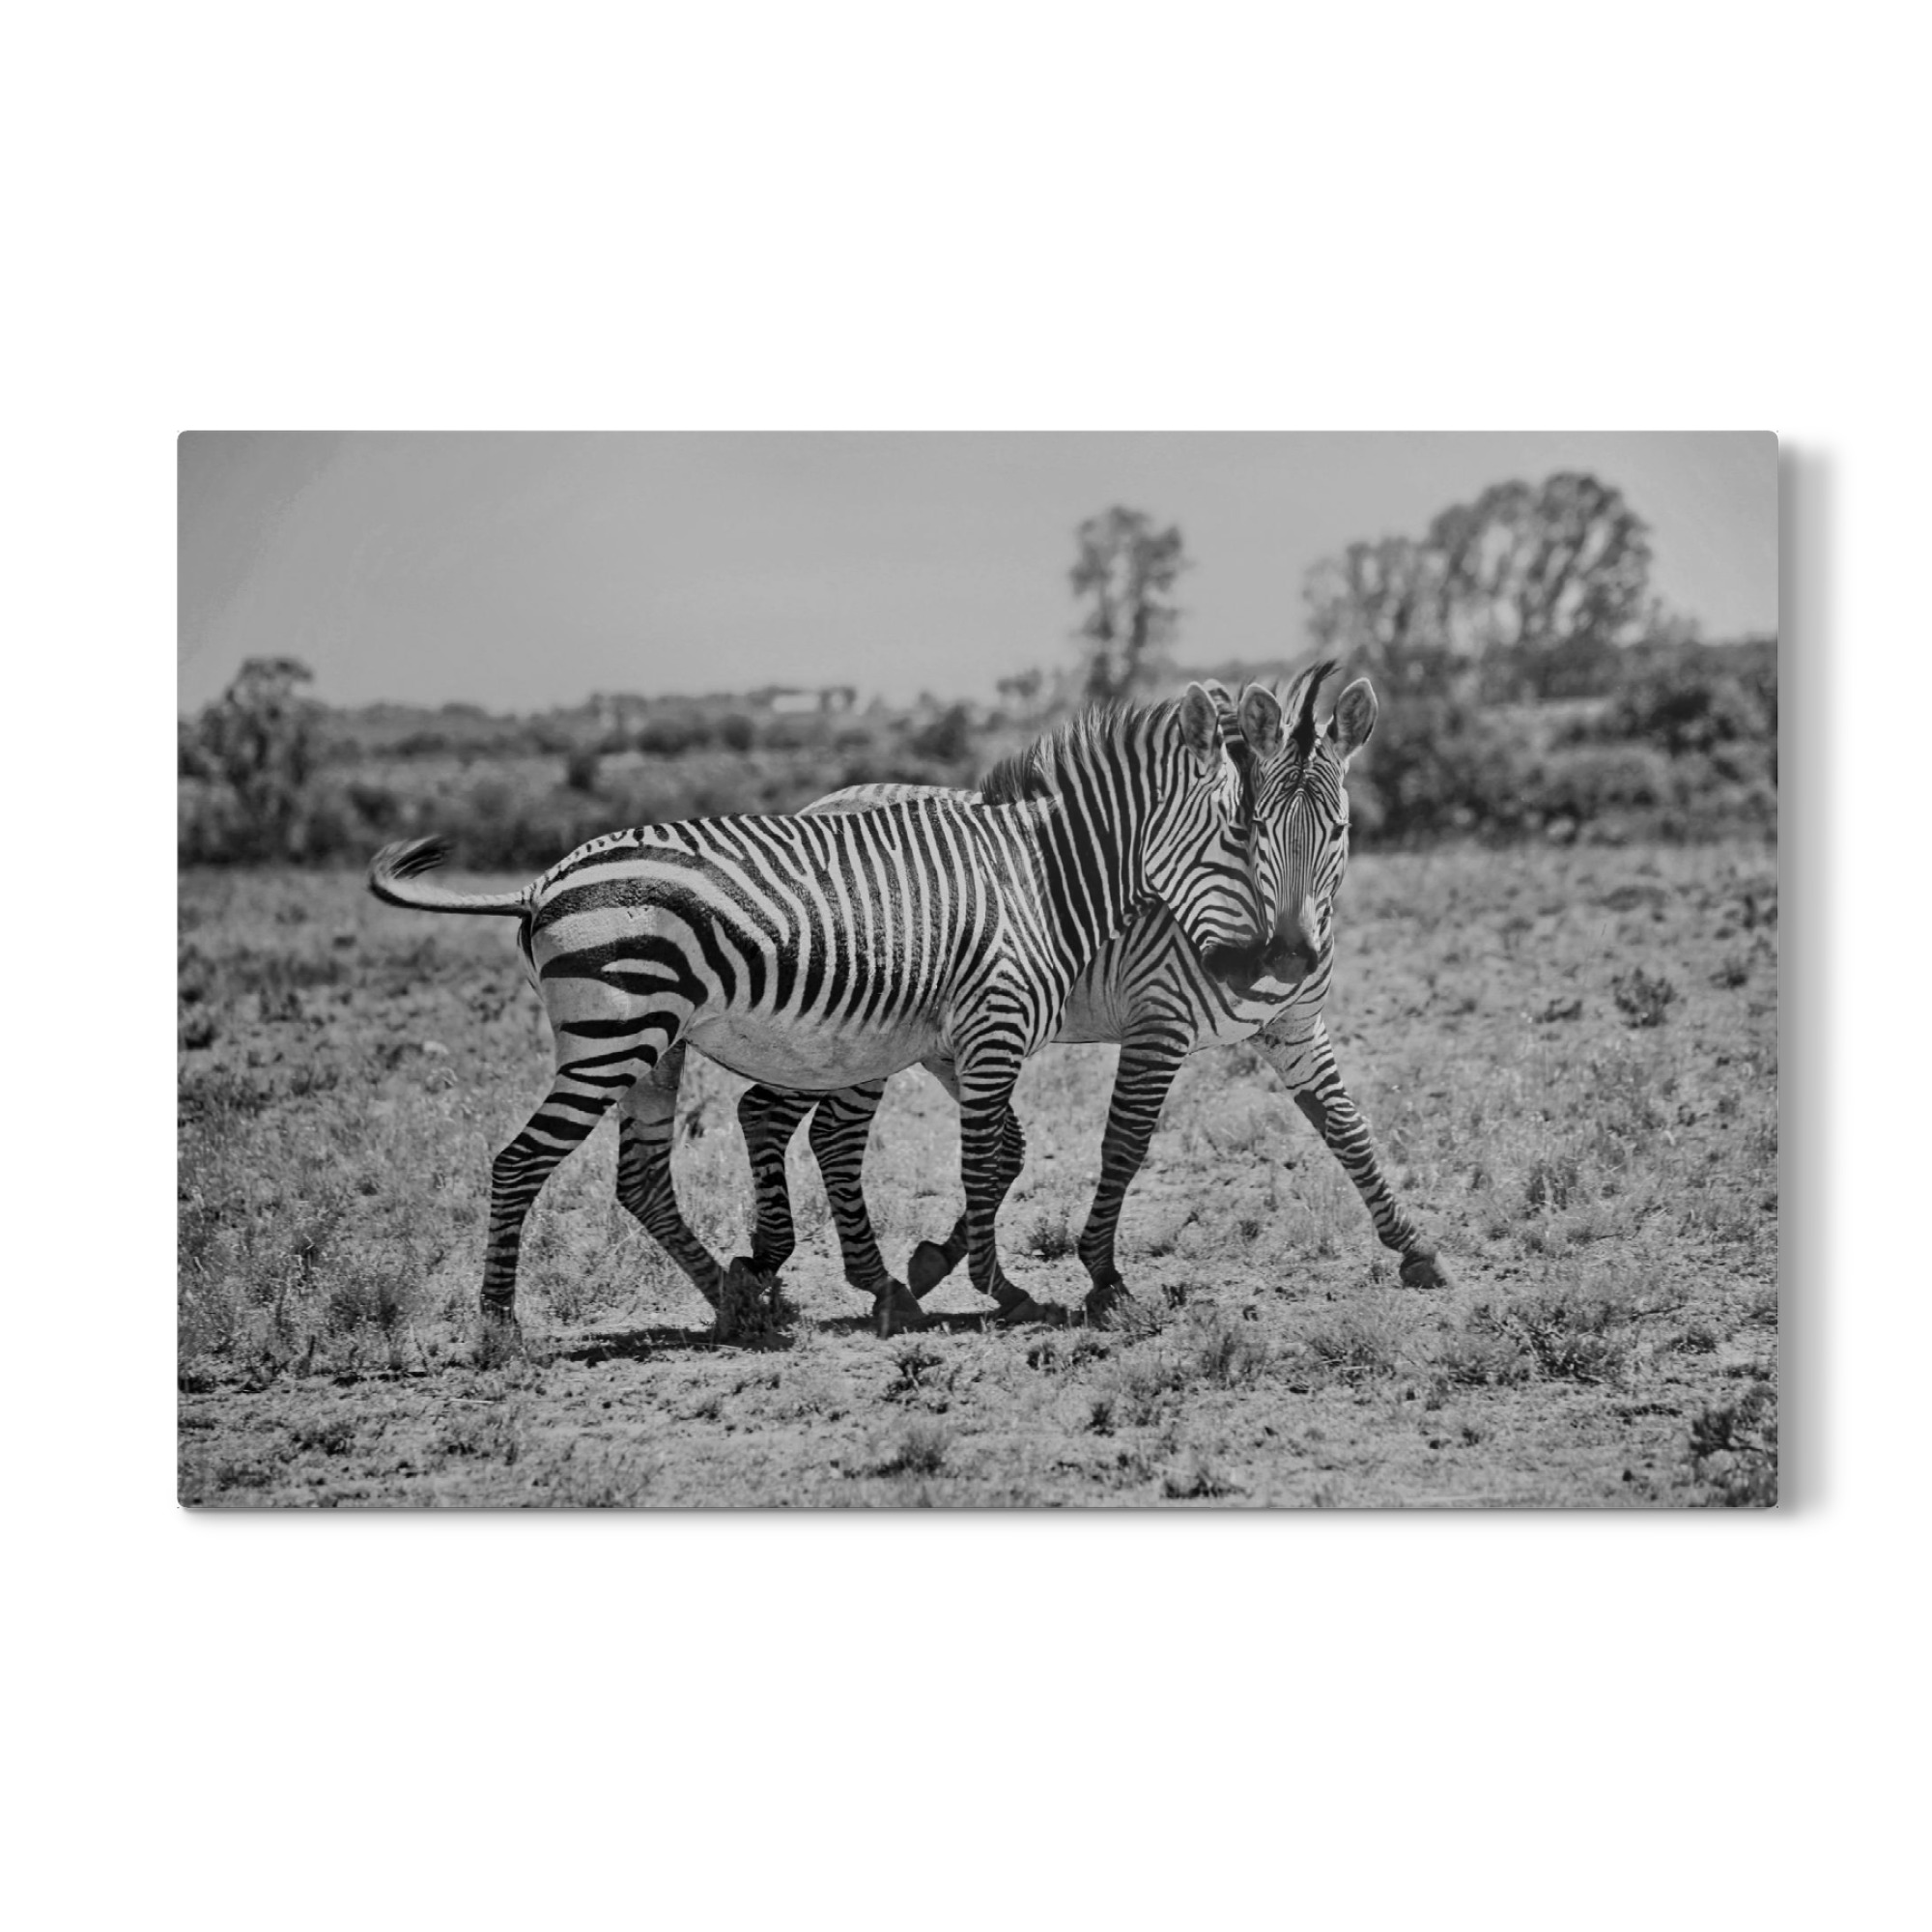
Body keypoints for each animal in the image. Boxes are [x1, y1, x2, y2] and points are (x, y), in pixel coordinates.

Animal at [366, 685, 1283, 1335]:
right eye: (1243, 835)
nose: (1257, 967)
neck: (1039, 879)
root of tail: (540, 882)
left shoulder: (968, 1036)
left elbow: (985, 1159)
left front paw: (930, 1282)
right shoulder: (994, 1027)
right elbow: (983, 1163)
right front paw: (1004, 1290)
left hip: (656, 1044)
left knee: (641, 1178)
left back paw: (743, 1306)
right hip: (612, 1036)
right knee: (519, 1162)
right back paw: (500, 1331)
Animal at [717, 661, 1452, 1328]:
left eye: (1339, 832)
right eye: (1260, 831)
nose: (1290, 957)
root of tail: (820, 804)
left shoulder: (1295, 1028)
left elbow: (1347, 1128)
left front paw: (1415, 1248)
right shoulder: (1158, 1021)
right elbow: (1123, 1144)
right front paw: (1102, 1276)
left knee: (780, 1116)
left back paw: (786, 1269)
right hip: (850, 1032)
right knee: (816, 1130)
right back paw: (819, 1277)